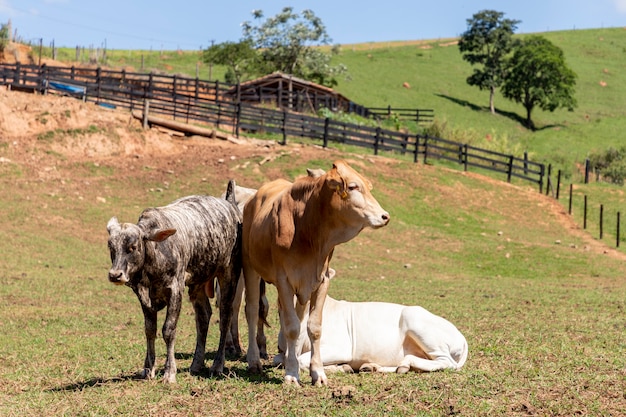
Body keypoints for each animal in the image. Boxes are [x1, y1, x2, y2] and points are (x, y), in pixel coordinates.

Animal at [105, 180, 241, 382]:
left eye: (133, 246)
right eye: (110, 246)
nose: (115, 275)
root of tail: (230, 204)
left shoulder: (176, 291)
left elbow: (168, 330)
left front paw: (169, 372)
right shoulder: (142, 296)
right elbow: (150, 330)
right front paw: (148, 368)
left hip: (229, 275)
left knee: (225, 316)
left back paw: (217, 365)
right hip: (198, 282)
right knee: (203, 316)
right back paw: (196, 363)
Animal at [241, 158, 388, 384]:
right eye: (353, 187)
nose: (384, 216)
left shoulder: (321, 280)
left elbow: (313, 327)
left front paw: (317, 372)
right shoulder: (284, 281)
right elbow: (291, 327)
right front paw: (292, 374)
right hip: (250, 267)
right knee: (252, 310)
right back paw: (254, 360)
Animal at [272, 270, 464, 374]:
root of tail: (461, 337)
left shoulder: (341, 347)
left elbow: (305, 361)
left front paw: (341, 367)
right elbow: (278, 359)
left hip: (418, 324)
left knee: (446, 362)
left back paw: (405, 363)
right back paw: (373, 367)